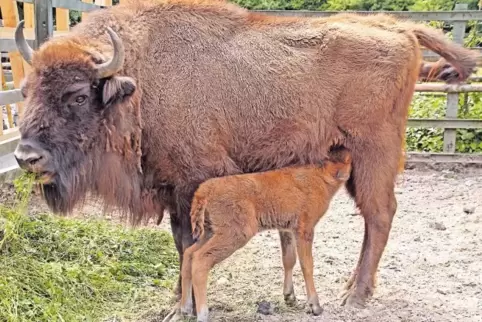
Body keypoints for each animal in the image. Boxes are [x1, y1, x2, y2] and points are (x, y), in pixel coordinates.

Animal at [165, 149, 350, 322]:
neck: (320, 174)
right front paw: (315, 306)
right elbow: (307, 265)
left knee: (189, 254)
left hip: (210, 232)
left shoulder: (287, 229)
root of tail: (204, 190)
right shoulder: (305, 230)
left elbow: (289, 259)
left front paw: (290, 297)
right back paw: (202, 314)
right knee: (201, 260)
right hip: (235, 235)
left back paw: (185, 308)